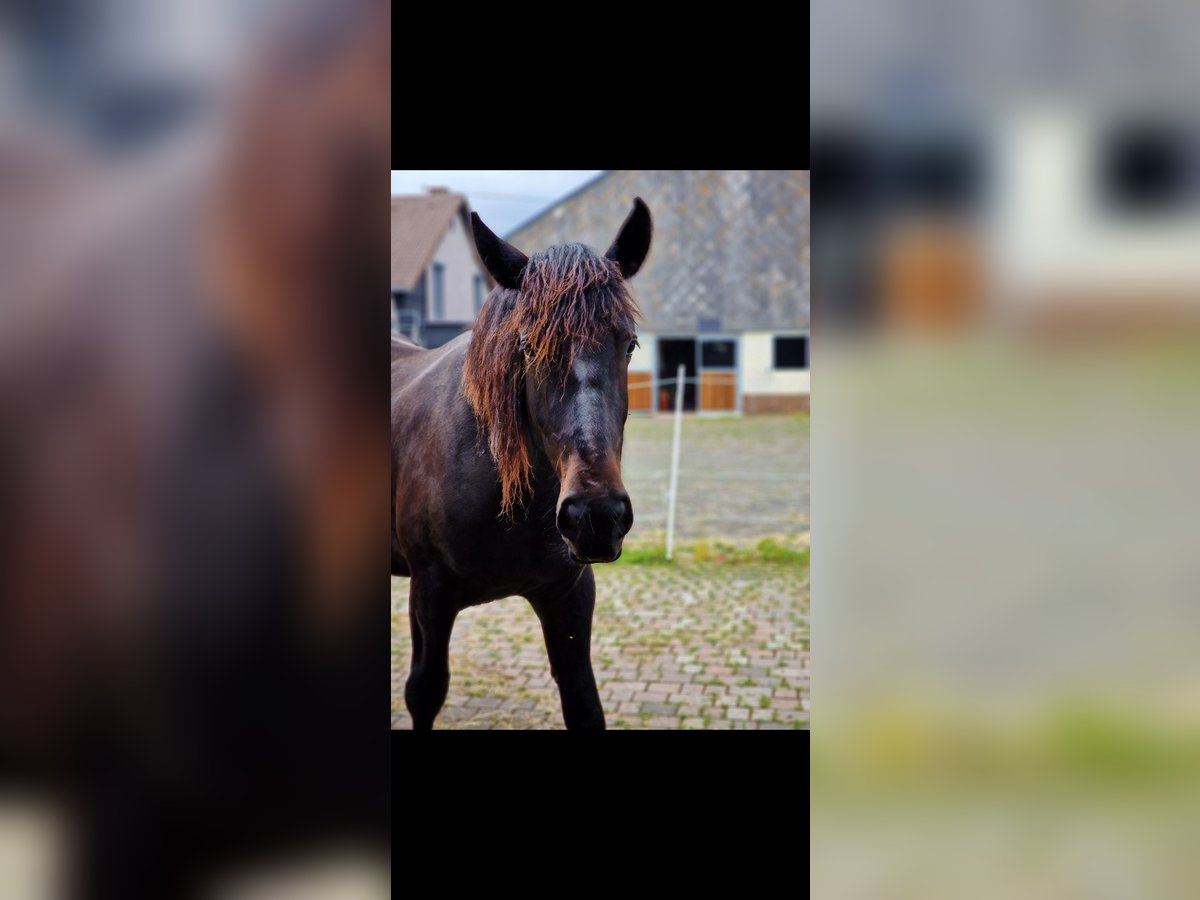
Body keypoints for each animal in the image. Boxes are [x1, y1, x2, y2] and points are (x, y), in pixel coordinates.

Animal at [391, 199, 657, 734]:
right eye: (529, 346)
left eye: (630, 344)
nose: (596, 516)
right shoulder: (428, 594)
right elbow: (424, 693)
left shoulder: (569, 594)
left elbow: (584, 703)